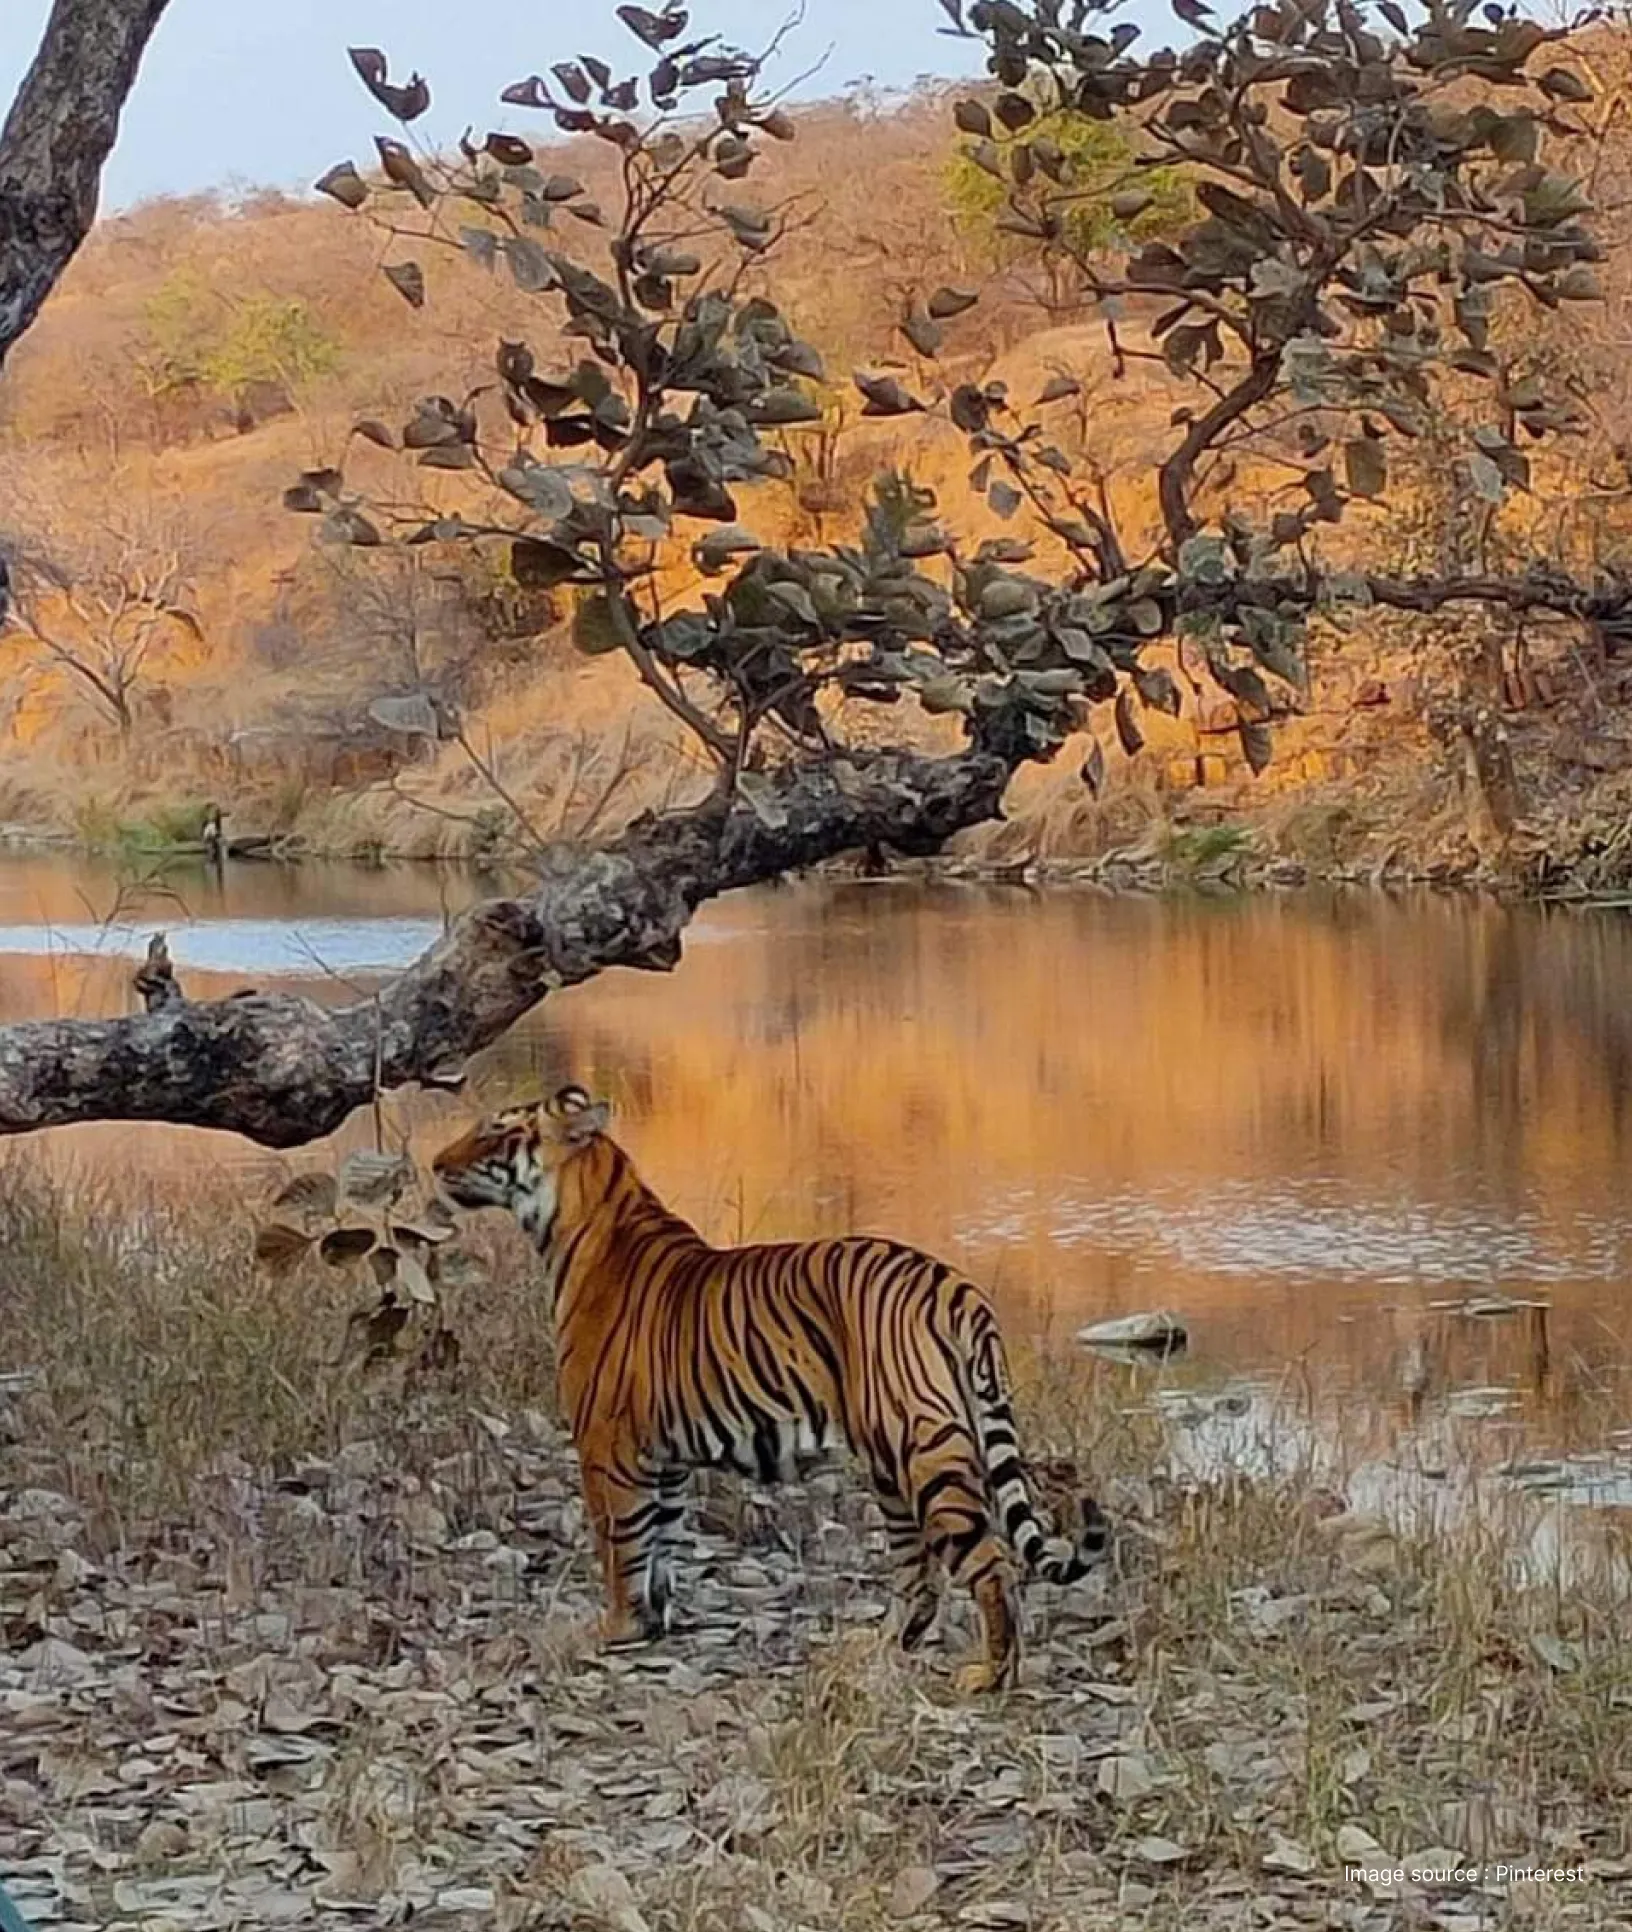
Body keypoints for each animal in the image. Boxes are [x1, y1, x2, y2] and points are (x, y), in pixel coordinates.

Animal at [431, 1085, 1109, 1692]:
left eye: (494, 1131)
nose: (435, 1164)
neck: (575, 1219)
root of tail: (953, 1284)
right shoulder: (664, 1455)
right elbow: (662, 1540)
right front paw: (653, 1622)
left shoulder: (606, 1445)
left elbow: (620, 1543)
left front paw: (615, 1628)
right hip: (894, 1464)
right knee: (920, 1572)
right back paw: (878, 1646)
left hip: (922, 1450)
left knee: (988, 1563)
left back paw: (990, 1675)